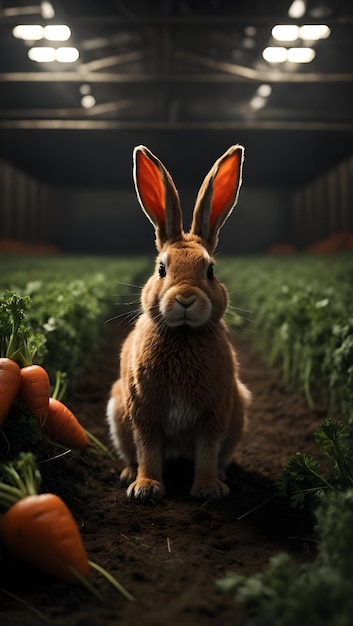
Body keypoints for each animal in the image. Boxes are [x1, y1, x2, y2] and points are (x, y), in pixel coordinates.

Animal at [106, 143, 250, 502]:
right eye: (161, 269)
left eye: (210, 270)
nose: (185, 298)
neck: (183, 335)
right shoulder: (144, 410)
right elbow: (147, 449)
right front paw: (145, 488)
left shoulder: (214, 412)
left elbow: (208, 452)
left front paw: (209, 488)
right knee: (132, 453)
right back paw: (128, 473)